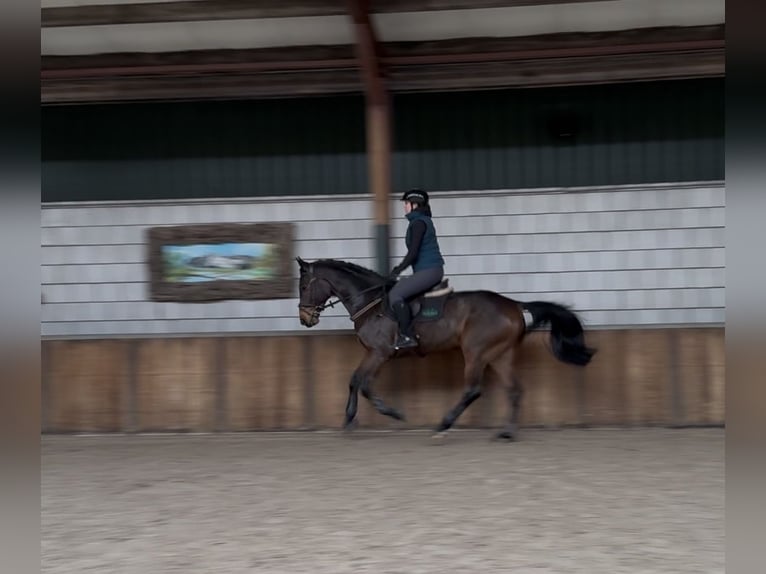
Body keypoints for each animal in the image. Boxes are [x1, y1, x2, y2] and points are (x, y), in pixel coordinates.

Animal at [296, 257, 595, 441]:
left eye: (304, 285)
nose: (305, 318)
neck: (371, 303)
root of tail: (513, 304)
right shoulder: (374, 354)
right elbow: (355, 381)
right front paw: (350, 419)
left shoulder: (380, 353)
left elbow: (363, 384)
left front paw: (392, 414)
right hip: (500, 354)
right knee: (515, 389)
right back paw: (506, 433)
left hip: (476, 352)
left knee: (473, 390)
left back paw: (443, 426)